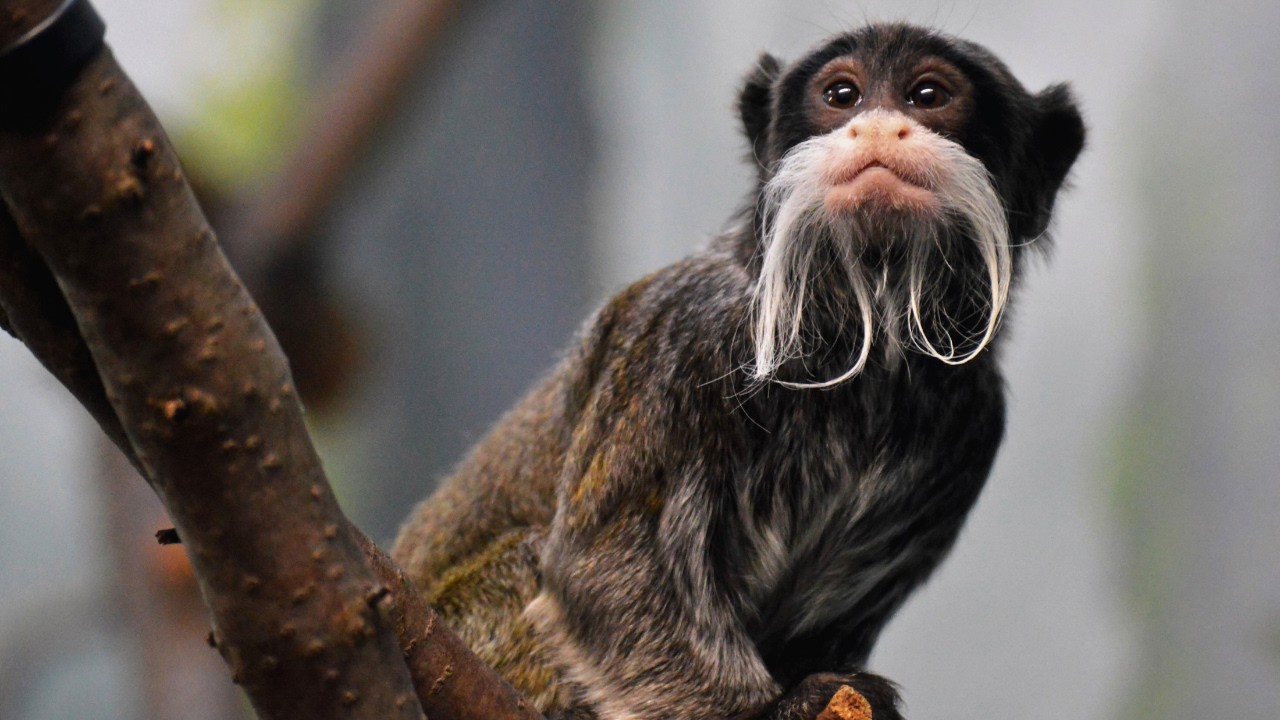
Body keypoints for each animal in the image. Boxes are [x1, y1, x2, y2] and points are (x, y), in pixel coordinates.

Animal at [392, 23, 1085, 720]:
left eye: (928, 95)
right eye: (843, 95)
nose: (878, 126)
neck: (859, 339)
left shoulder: (974, 423)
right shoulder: (680, 330)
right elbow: (601, 572)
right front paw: (770, 709)